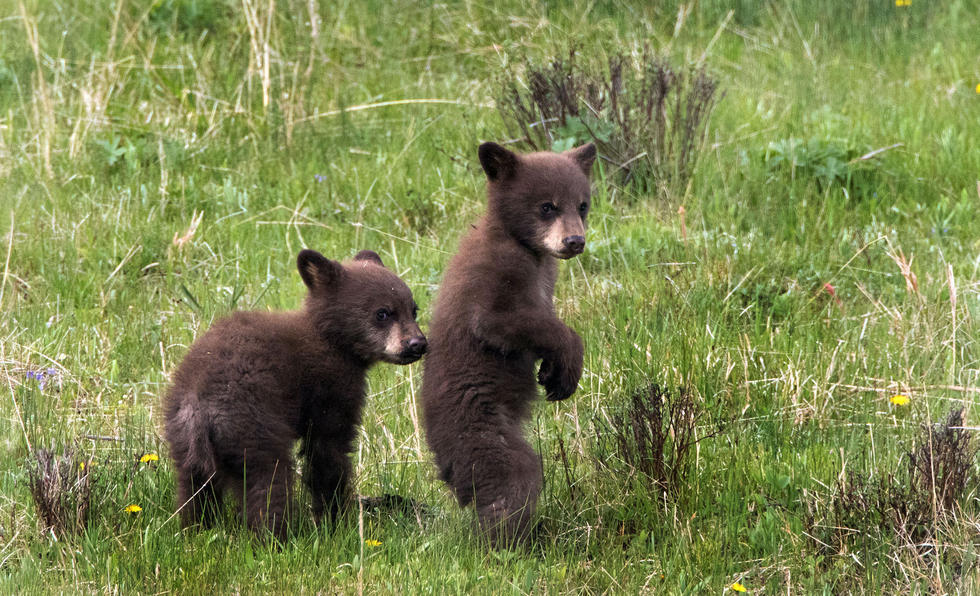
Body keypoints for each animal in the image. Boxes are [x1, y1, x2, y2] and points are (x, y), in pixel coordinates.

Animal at [163, 248, 427, 541]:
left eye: (413, 310)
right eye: (382, 313)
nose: (418, 344)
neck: (331, 339)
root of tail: (199, 407)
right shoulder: (329, 390)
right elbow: (328, 452)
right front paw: (335, 520)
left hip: (184, 444)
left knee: (195, 489)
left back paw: (196, 530)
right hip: (254, 431)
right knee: (268, 484)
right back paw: (276, 538)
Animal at [420, 141, 596, 547]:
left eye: (582, 205)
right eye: (547, 206)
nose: (574, 241)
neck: (522, 244)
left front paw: (553, 372)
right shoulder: (497, 275)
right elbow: (499, 322)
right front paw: (567, 365)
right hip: (481, 431)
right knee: (512, 479)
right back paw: (511, 543)